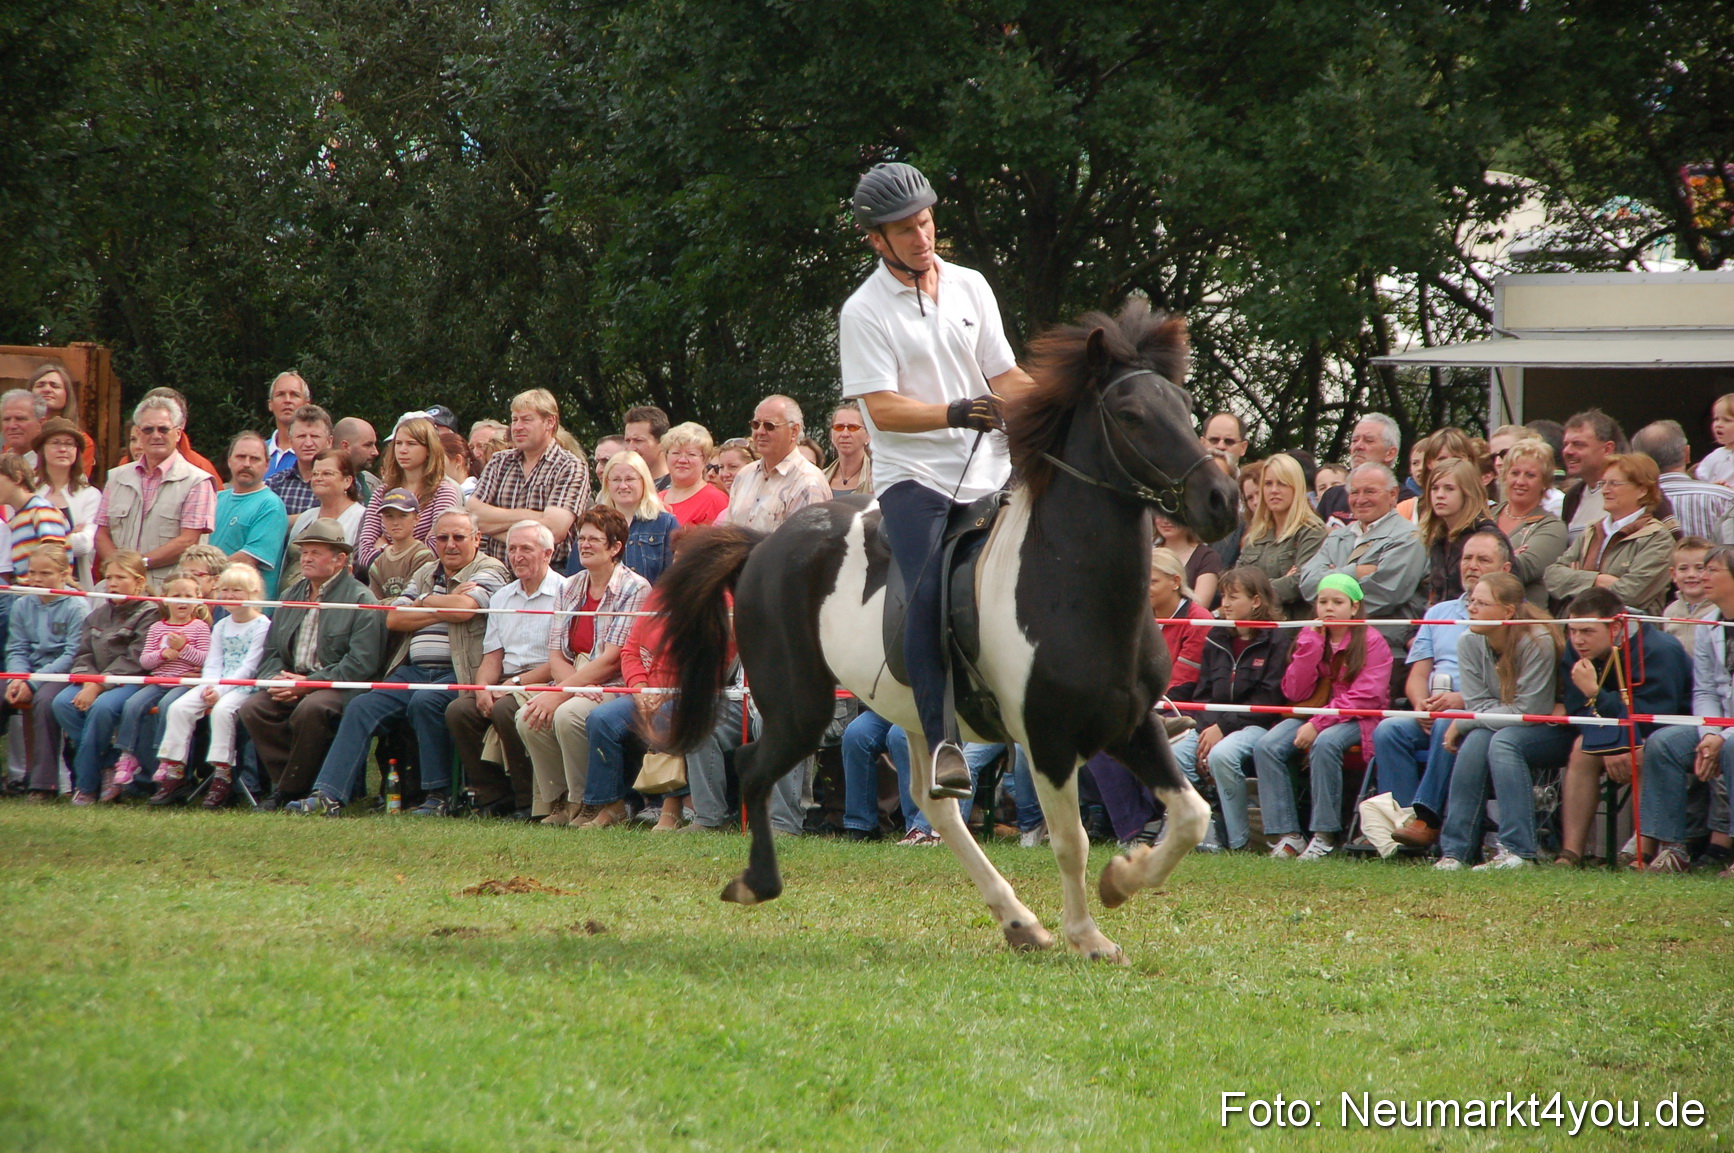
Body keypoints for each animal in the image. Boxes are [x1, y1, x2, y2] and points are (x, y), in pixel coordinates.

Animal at [654, 300, 1240, 962]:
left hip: (913, 716)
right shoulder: (1049, 740)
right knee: (754, 765)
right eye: (1131, 414)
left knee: (937, 810)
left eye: (1184, 406)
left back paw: (1019, 922)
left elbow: (1190, 816)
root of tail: (763, 544)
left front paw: (1122, 880)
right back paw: (756, 882)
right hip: (801, 707)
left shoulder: (1133, 725)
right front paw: (1089, 935)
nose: (1221, 500)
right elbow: (1073, 842)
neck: (1068, 585)